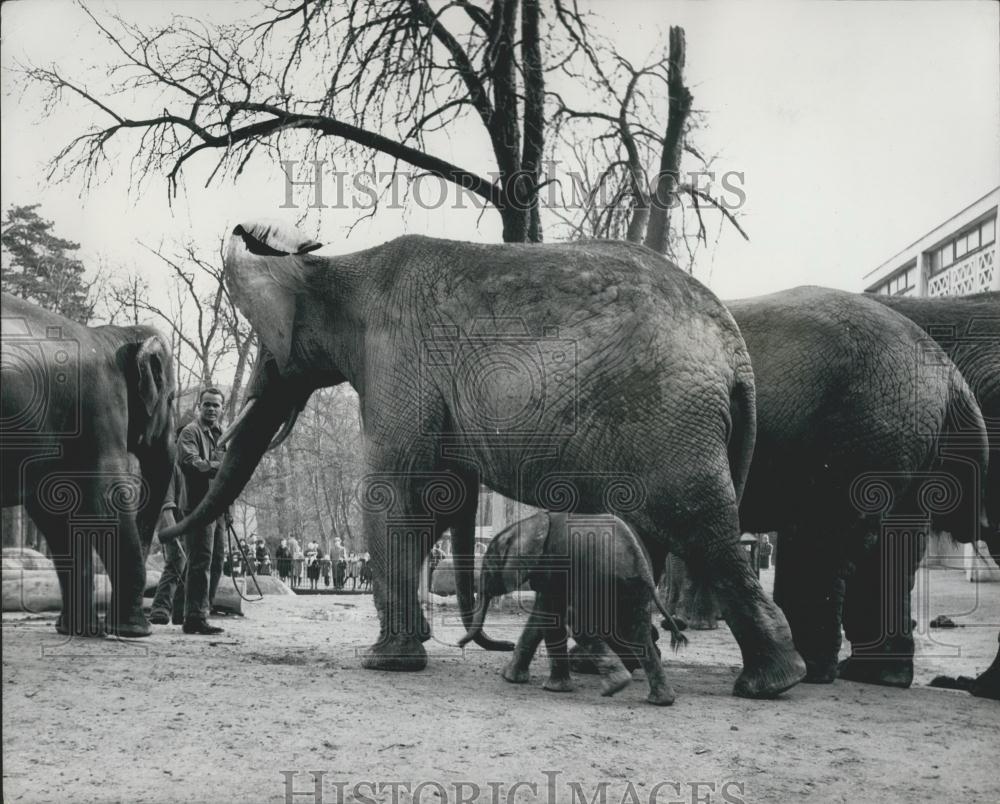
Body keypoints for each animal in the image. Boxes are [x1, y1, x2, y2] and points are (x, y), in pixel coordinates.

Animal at [1, 293, 176, 637]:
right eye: (172, 398)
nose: (151, 621)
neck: (115, 335)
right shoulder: (99, 404)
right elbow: (105, 495)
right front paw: (135, 631)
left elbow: (54, 511)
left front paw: (77, 630)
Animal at [458, 511, 686, 704]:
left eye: (488, 564)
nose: (458, 643)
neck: (527, 524)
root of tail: (640, 560)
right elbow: (540, 617)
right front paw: (510, 678)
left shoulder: (553, 564)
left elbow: (551, 617)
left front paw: (553, 688)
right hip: (632, 586)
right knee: (639, 631)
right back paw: (661, 700)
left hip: (599, 581)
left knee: (576, 622)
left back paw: (615, 685)